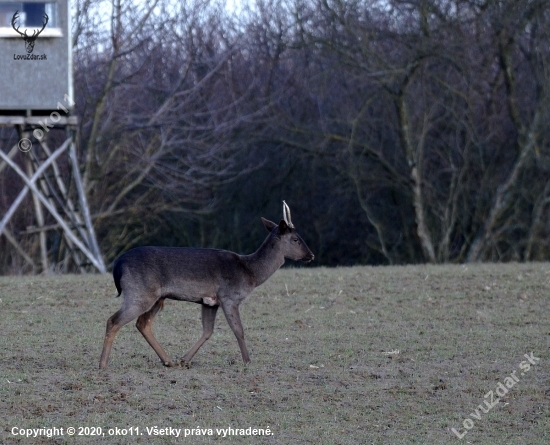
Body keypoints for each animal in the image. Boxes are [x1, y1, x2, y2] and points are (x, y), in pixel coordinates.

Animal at [99, 201, 314, 368]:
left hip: (157, 297)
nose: (311, 255)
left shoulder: (210, 301)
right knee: (114, 320)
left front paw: (184, 359)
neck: (250, 272)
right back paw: (103, 364)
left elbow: (208, 331)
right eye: (296, 239)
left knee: (143, 324)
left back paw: (168, 361)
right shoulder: (229, 296)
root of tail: (118, 265)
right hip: (139, 292)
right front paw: (247, 361)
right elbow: (239, 330)